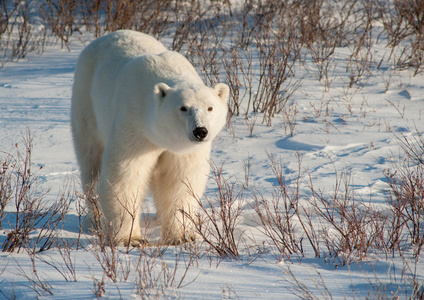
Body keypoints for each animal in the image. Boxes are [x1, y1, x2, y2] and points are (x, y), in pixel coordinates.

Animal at [71, 30, 229, 246]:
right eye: (183, 108)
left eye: (210, 108)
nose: (200, 131)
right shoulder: (135, 128)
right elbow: (125, 176)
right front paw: (131, 239)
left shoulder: (183, 149)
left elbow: (180, 180)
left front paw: (182, 236)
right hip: (86, 103)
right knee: (91, 164)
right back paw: (95, 221)